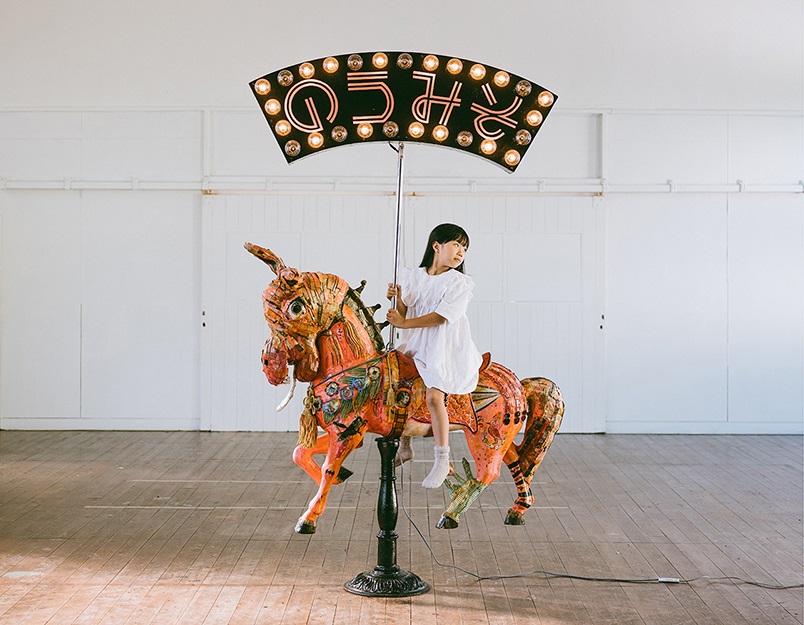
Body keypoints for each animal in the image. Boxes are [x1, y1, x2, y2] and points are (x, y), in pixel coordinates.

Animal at [245, 241, 564, 532]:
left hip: (486, 438)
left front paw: (308, 518)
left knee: (490, 473)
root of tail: (517, 383)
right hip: (501, 437)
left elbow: (327, 467)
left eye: (295, 307)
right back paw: (516, 510)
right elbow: (300, 452)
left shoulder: (349, 433)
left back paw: (450, 512)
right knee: (518, 462)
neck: (357, 364)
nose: (270, 366)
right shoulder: (349, 431)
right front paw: (341, 478)